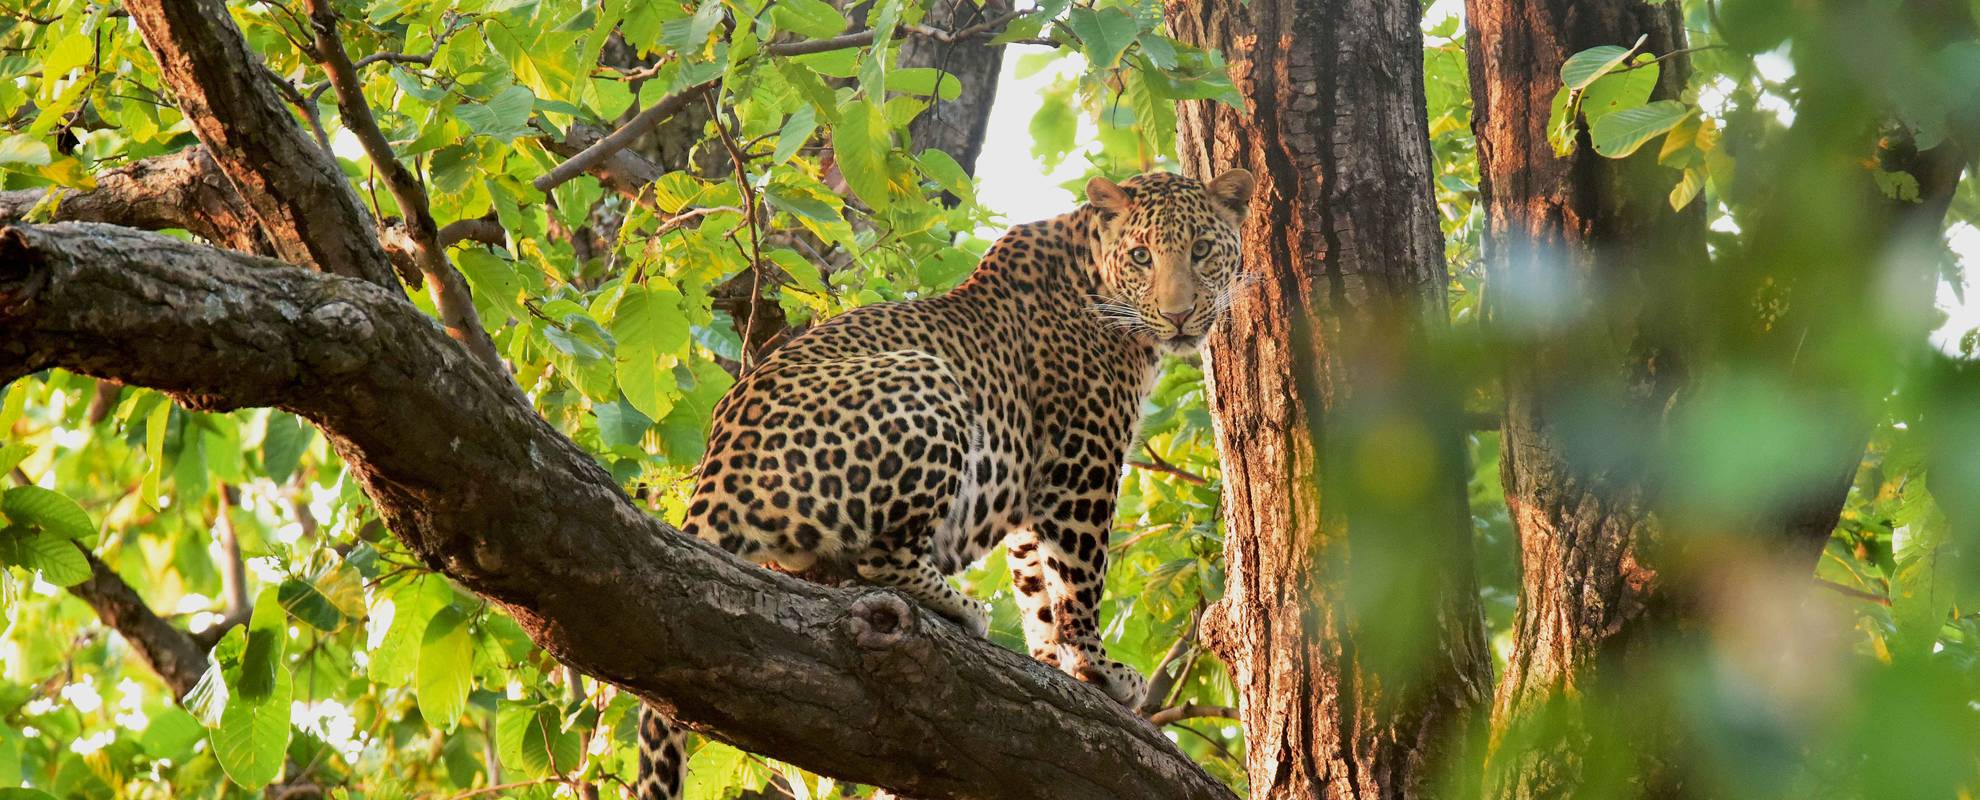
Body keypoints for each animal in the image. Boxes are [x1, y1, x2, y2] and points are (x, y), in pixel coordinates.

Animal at [633, 168, 1251, 800]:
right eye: (1142, 255)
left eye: (1201, 250)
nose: (1178, 315)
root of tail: (718, 467)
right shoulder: (1081, 461)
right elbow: (1078, 577)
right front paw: (1095, 669)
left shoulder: (1030, 492)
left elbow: (1037, 588)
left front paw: (1053, 665)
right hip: (929, 378)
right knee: (880, 561)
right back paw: (963, 608)